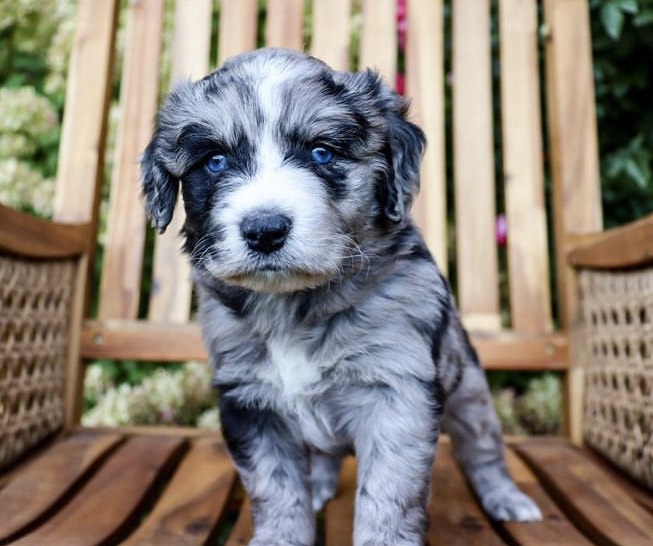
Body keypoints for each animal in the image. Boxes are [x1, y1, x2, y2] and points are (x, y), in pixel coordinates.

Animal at [141, 47, 540, 544]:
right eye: (214, 161)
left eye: (321, 152)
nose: (264, 230)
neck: (293, 306)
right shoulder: (249, 400)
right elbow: (275, 487)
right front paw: (280, 535)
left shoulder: (398, 391)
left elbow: (388, 496)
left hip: (470, 391)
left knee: (483, 448)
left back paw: (507, 498)